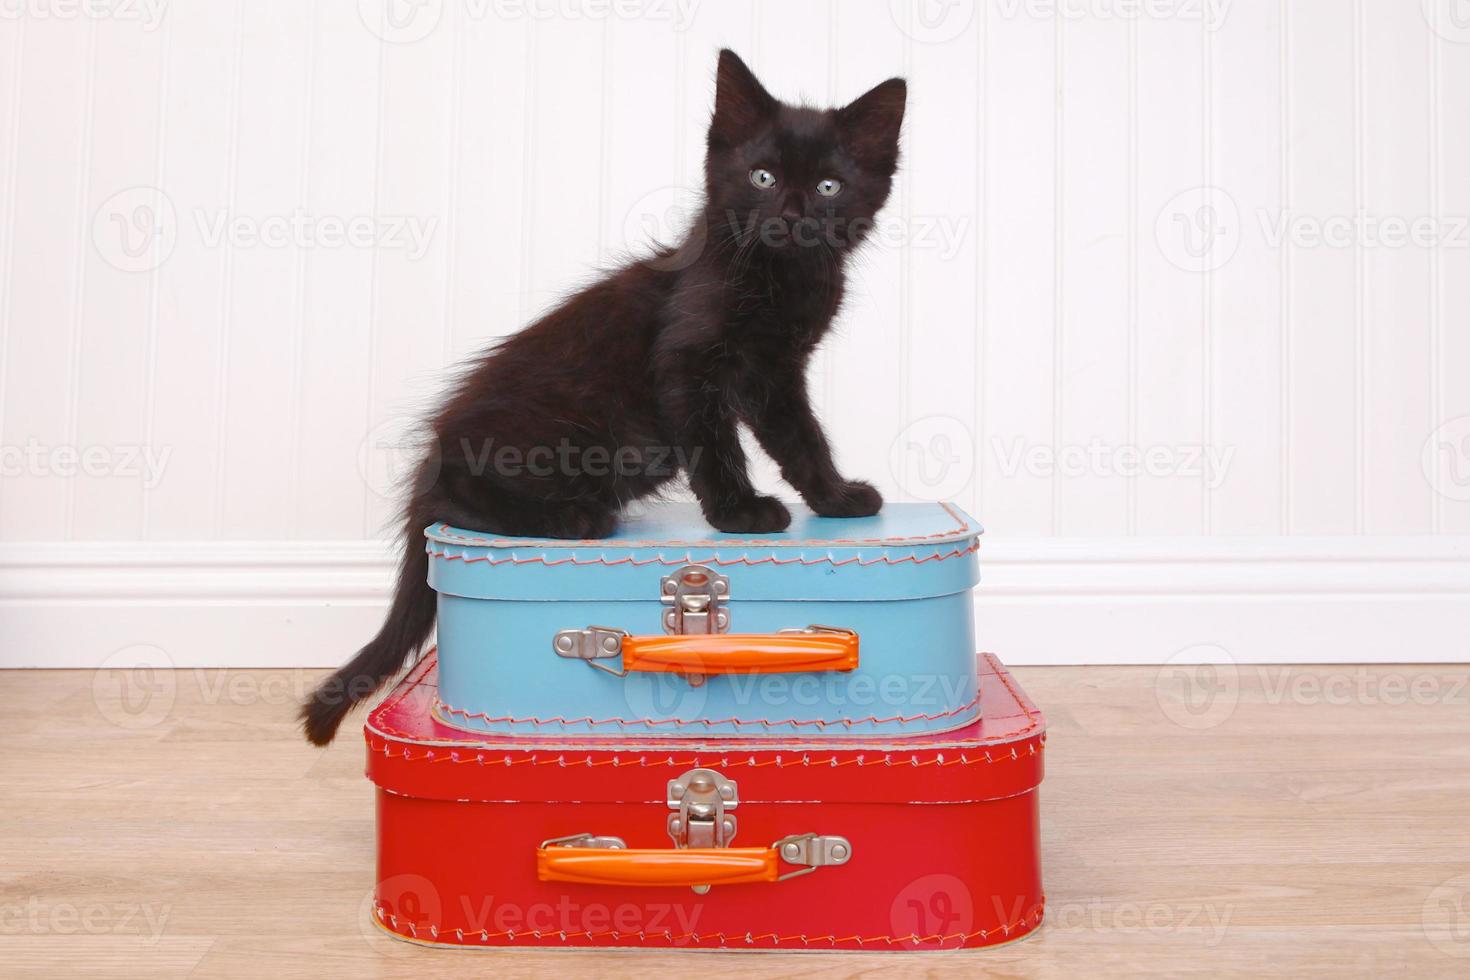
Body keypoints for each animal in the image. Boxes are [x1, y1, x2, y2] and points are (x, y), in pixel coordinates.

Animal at [305, 51, 905, 743]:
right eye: (762, 177)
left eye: (830, 187)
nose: (790, 214)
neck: (780, 275)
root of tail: (436, 452)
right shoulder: (687, 360)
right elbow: (716, 446)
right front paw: (740, 512)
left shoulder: (777, 376)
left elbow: (802, 440)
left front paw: (835, 497)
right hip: (587, 442)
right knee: (459, 500)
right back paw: (571, 517)